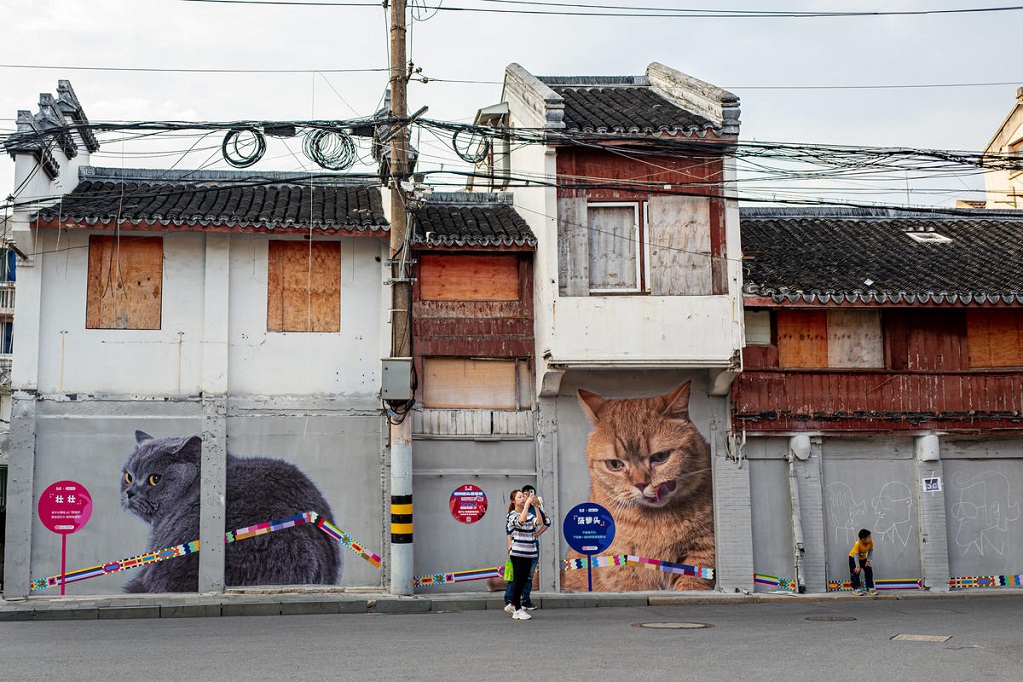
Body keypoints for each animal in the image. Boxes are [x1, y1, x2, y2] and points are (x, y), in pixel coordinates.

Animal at [560, 384, 712, 593]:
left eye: (661, 457)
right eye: (615, 464)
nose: (640, 484)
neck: (655, 522)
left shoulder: (702, 549)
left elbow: (692, 584)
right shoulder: (625, 569)